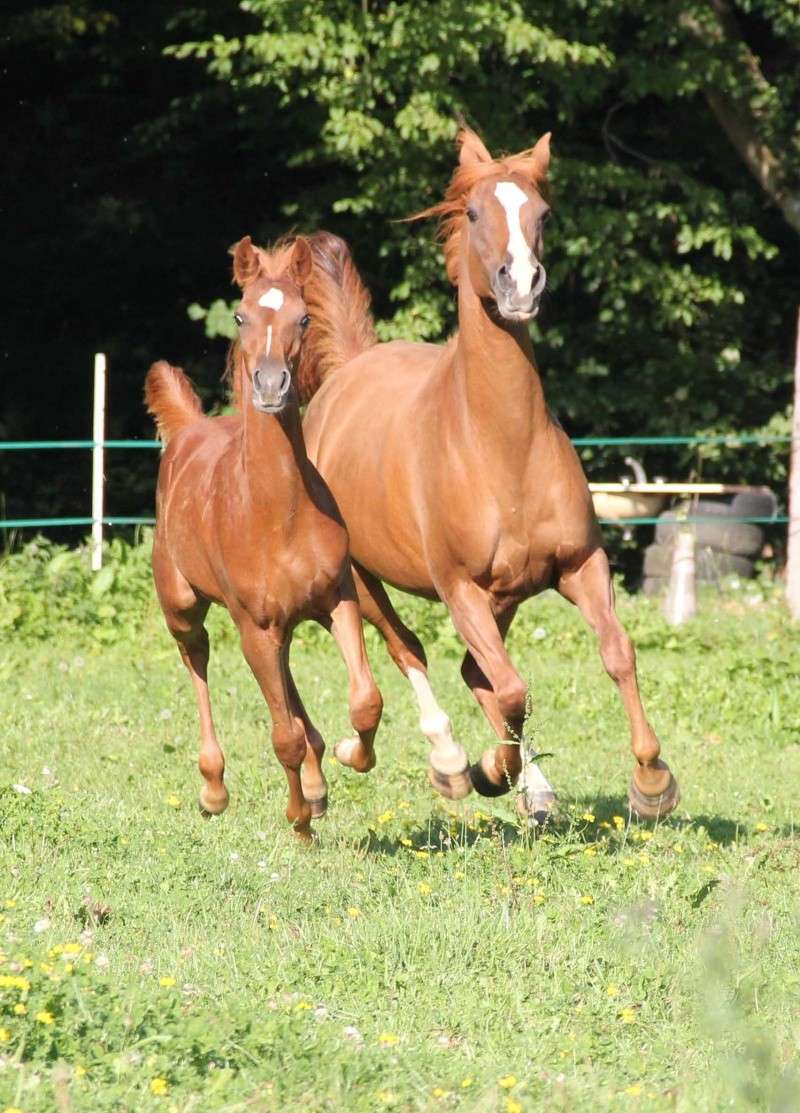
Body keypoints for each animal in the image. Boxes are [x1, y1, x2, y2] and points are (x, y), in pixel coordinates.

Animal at [147, 237, 384, 841]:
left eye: (303, 317)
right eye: (240, 314)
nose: (272, 385)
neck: (278, 513)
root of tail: (188, 429)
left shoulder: (338, 599)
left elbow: (365, 700)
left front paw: (348, 755)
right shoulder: (252, 626)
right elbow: (283, 737)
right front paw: (299, 822)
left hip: (286, 623)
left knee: (291, 683)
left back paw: (320, 780)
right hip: (184, 609)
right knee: (197, 660)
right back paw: (214, 788)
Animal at [302, 126, 680, 823]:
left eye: (544, 214)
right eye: (475, 213)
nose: (522, 284)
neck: (501, 449)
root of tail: (346, 374)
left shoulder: (580, 564)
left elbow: (616, 653)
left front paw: (651, 781)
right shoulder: (461, 590)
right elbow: (510, 690)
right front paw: (488, 772)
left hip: (505, 595)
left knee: (472, 673)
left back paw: (532, 788)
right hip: (363, 578)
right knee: (408, 651)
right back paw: (446, 763)